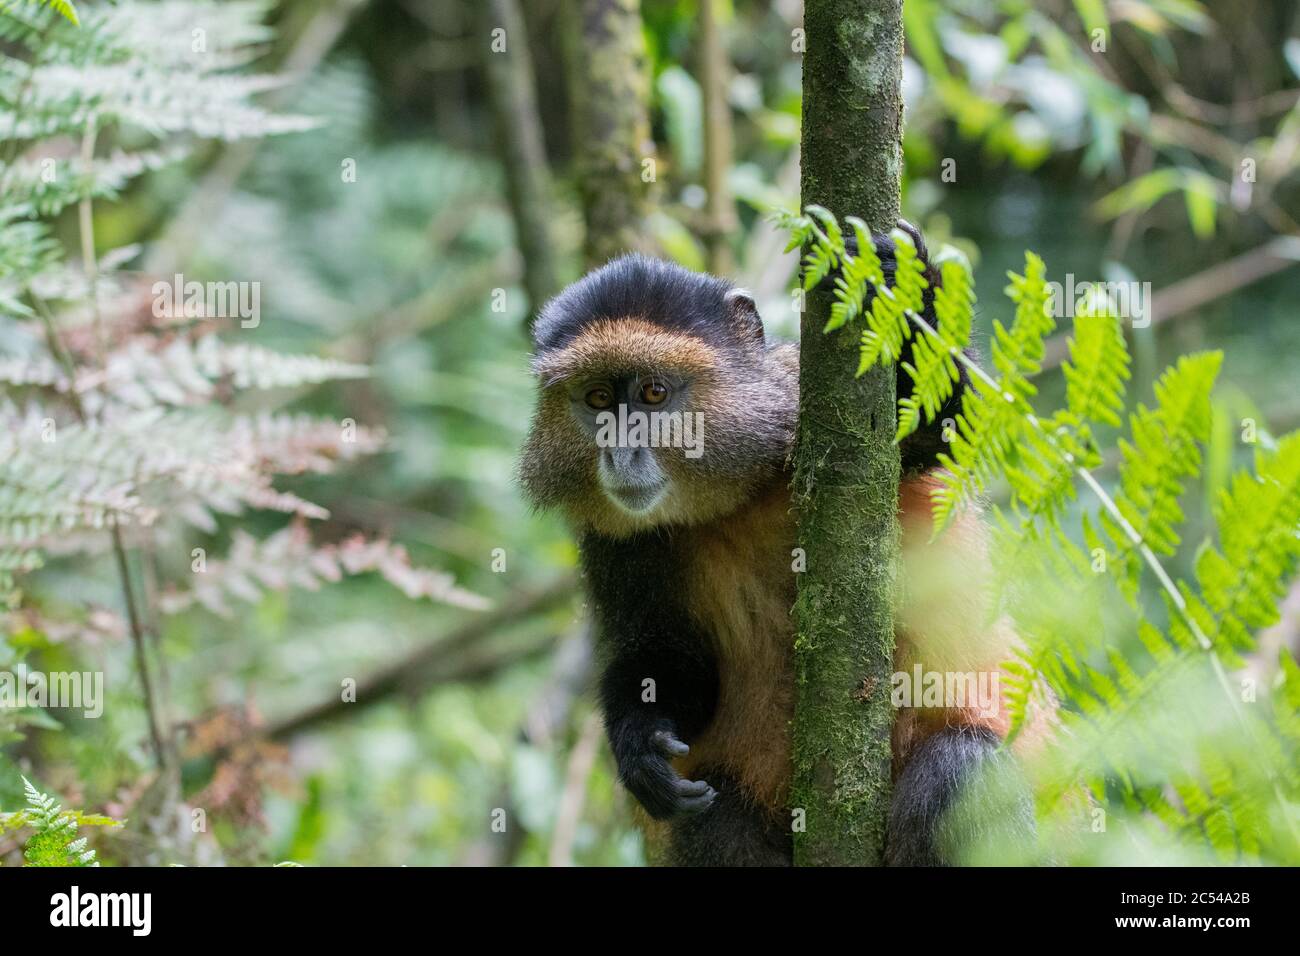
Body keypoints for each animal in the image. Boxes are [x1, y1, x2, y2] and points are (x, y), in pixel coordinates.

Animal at [519, 224, 1046, 866]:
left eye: (653, 392)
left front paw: (902, 279)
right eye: (597, 399)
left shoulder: (807, 406)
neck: (730, 498)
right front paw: (640, 745)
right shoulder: (614, 544)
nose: (622, 451)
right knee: (716, 820)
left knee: (962, 768)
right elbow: (668, 653)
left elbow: (949, 429)